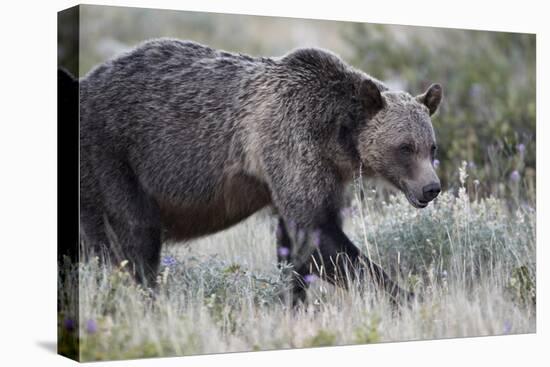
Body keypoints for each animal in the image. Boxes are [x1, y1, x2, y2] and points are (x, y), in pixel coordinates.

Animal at [78, 39, 444, 304]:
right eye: (405, 147)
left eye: (431, 147)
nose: (431, 187)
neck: (336, 135)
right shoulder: (289, 141)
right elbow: (318, 235)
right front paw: (409, 297)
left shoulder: (317, 172)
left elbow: (296, 245)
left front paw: (294, 301)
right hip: (112, 158)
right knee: (133, 236)